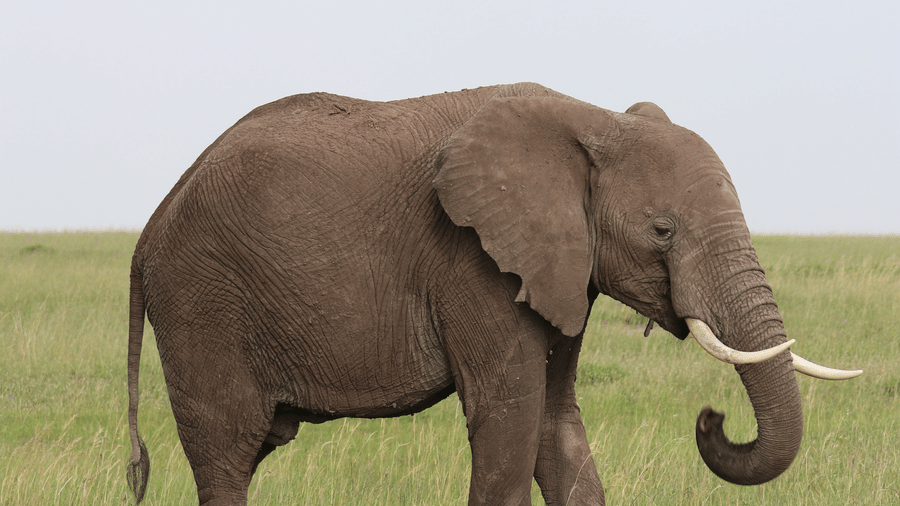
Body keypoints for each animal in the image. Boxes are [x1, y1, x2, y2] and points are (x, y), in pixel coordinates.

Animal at [126, 83, 860, 505]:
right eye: (662, 229)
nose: (712, 418)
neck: (592, 121)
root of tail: (149, 229)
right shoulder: (472, 260)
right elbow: (509, 419)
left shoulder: (560, 268)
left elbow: (557, 428)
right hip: (200, 304)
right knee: (227, 453)